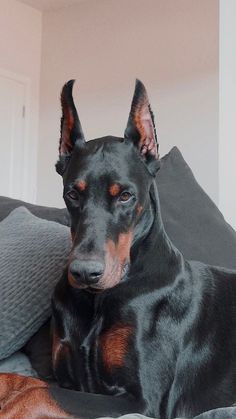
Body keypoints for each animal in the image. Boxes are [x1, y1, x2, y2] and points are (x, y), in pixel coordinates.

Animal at [0, 80, 236, 418]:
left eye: (125, 195)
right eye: (72, 193)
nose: (85, 272)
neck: (97, 299)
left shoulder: (142, 402)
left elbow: (35, 393)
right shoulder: (67, 378)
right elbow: (21, 380)